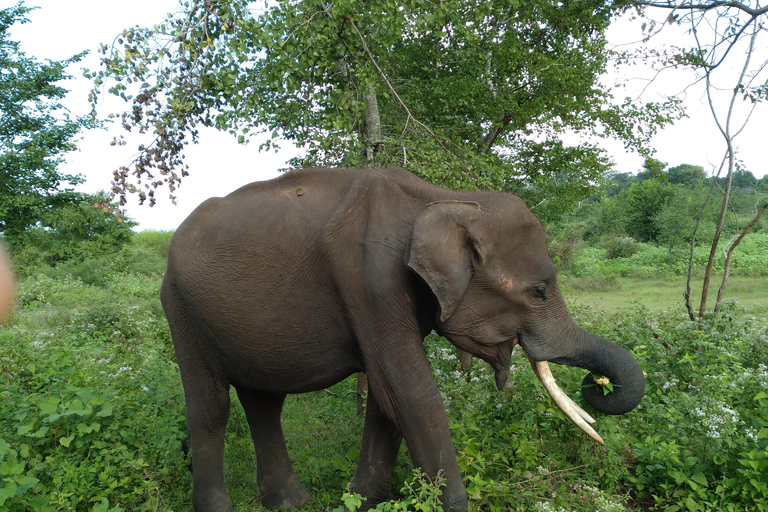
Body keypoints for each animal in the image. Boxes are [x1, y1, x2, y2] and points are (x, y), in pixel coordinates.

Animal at [160, 166, 640, 510]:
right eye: (538, 292)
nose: (597, 385)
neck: (445, 197)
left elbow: (386, 396)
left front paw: (361, 501)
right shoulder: (370, 279)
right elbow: (408, 392)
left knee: (264, 402)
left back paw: (292, 503)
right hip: (180, 306)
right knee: (212, 406)